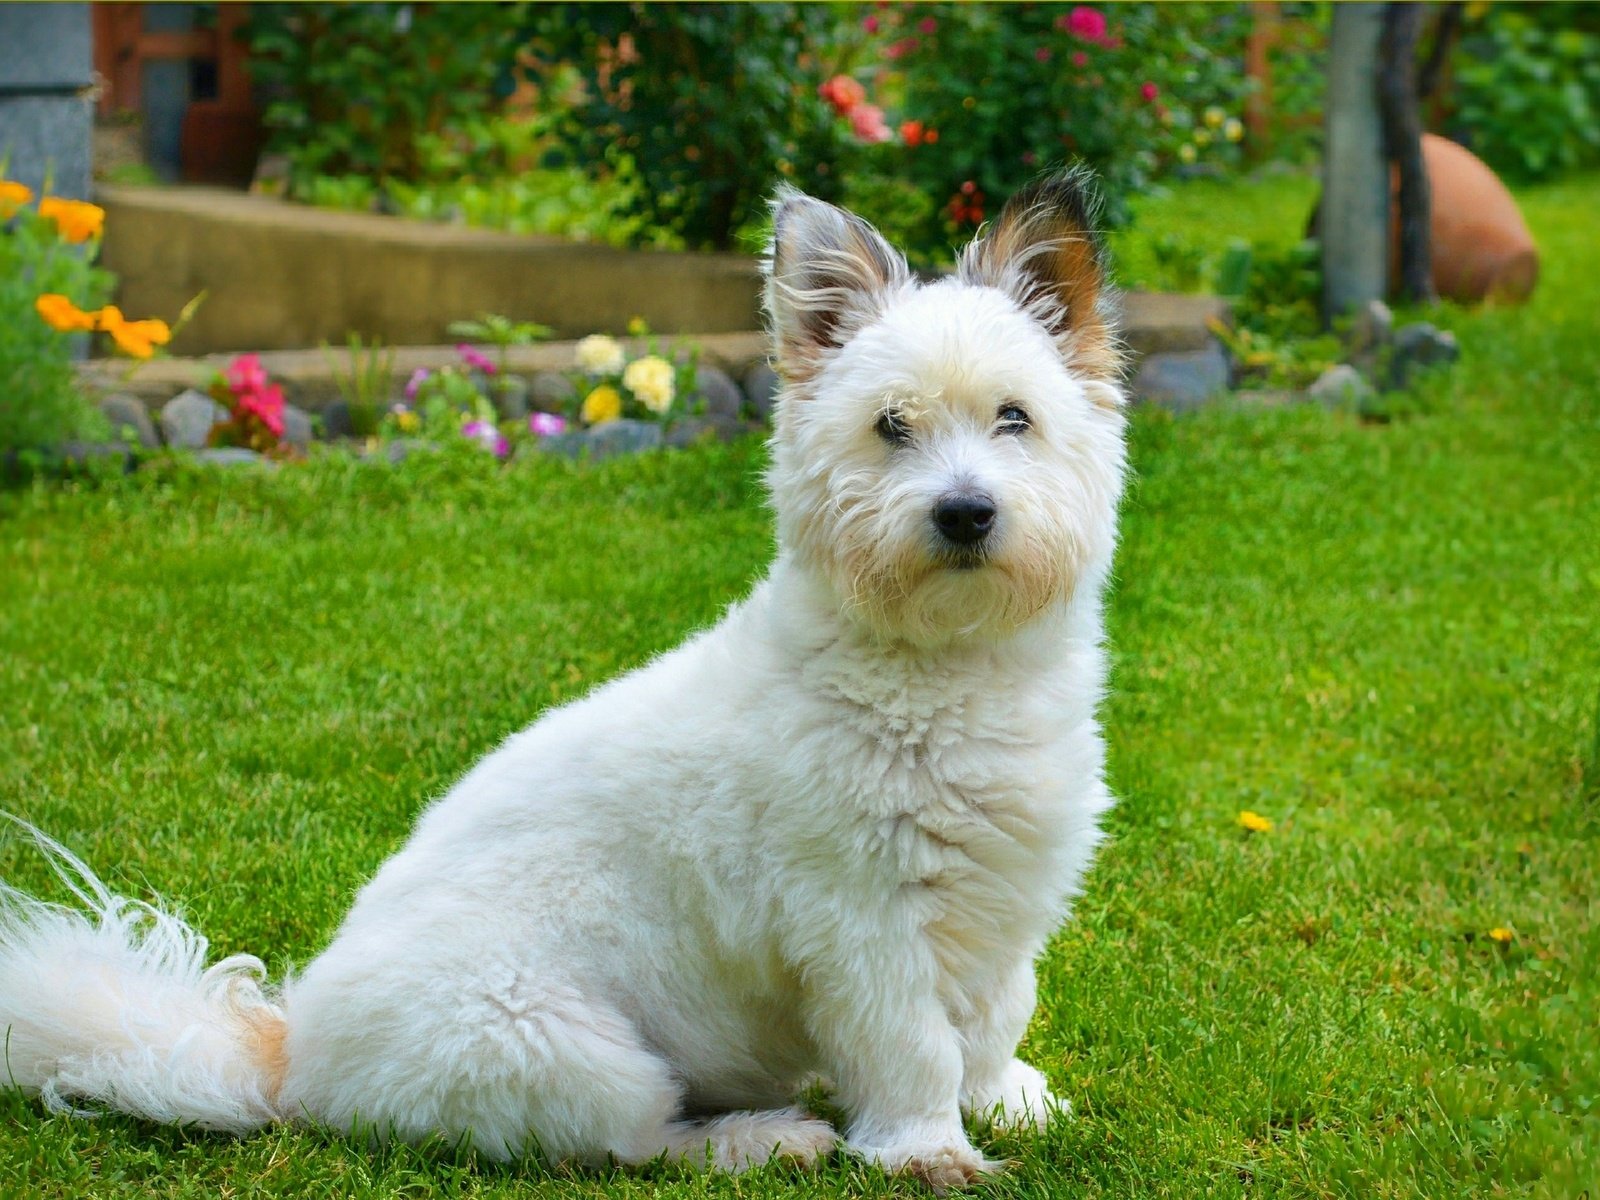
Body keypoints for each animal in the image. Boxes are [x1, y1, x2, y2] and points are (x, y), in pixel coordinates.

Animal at [0, 169, 1126, 1196]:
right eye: (891, 426)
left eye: (1014, 418)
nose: (964, 513)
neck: (941, 668)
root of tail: (294, 1061)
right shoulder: (862, 927)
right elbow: (911, 1046)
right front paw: (927, 1148)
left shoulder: (1005, 904)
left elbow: (993, 1018)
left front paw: (1005, 1100)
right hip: (573, 1048)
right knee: (636, 1146)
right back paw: (761, 1139)